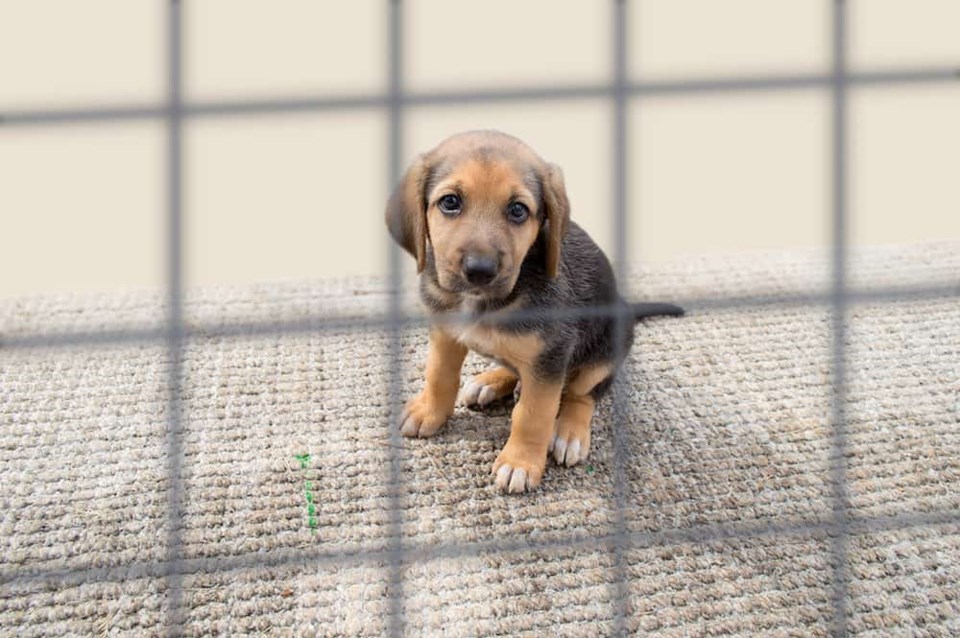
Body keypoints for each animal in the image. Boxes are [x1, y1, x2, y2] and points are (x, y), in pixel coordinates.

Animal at [384, 130, 684, 496]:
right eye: (450, 202)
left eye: (518, 210)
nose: (479, 271)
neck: (484, 302)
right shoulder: (445, 332)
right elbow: (439, 375)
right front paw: (430, 411)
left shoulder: (551, 355)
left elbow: (533, 414)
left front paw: (520, 463)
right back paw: (491, 380)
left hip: (605, 348)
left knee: (583, 394)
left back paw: (569, 432)